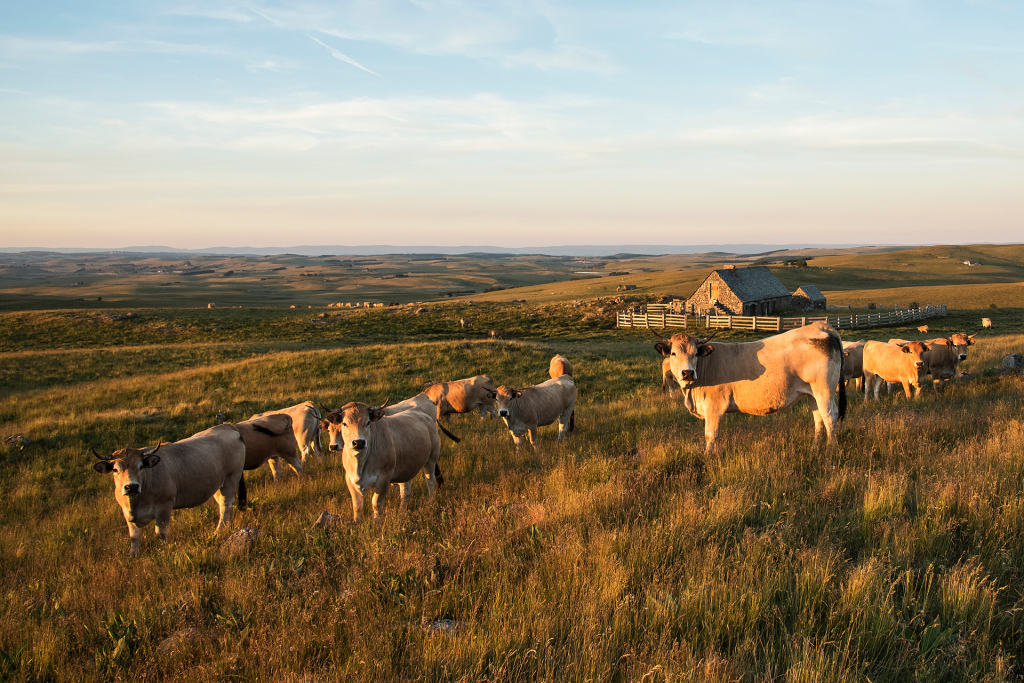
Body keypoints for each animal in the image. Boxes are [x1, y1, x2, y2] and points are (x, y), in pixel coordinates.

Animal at [90, 424, 245, 555]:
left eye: (141, 467)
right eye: (115, 469)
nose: (132, 486)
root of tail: (227, 426)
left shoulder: (164, 507)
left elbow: (161, 533)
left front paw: (162, 552)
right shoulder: (127, 513)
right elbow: (134, 537)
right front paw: (132, 557)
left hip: (231, 479)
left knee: (226, 506)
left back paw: (218, 532)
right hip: (217, 486)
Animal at [652, 323, 846, 454]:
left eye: (695, 353)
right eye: (673, 353)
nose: (687, 372)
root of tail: (821, 326)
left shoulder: (715, 406)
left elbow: (711, 434)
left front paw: (707, 457)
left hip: (824, 390)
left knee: (830, 416)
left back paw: (831, 450)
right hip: (812, 393)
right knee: (818, 418)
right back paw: (814, 448)